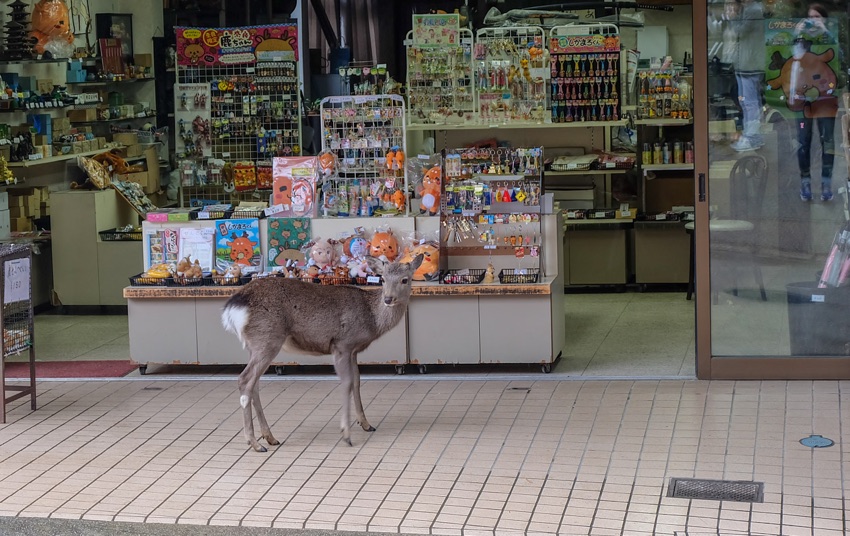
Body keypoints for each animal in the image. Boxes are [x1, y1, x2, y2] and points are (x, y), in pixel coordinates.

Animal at [219, 254, 418, 452]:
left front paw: (366, 424)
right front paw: (346, 435)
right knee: (245, 379)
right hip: (267, 338)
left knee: (254, 384)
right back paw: (254, 443)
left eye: (405, 279)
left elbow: (356, 382)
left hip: (254, 345)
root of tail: (232, 308)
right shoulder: (341, 344)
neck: (371, 319)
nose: (388, 299)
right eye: (382, 278)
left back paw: (270, 437)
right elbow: (347, 383)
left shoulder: (353, 350)